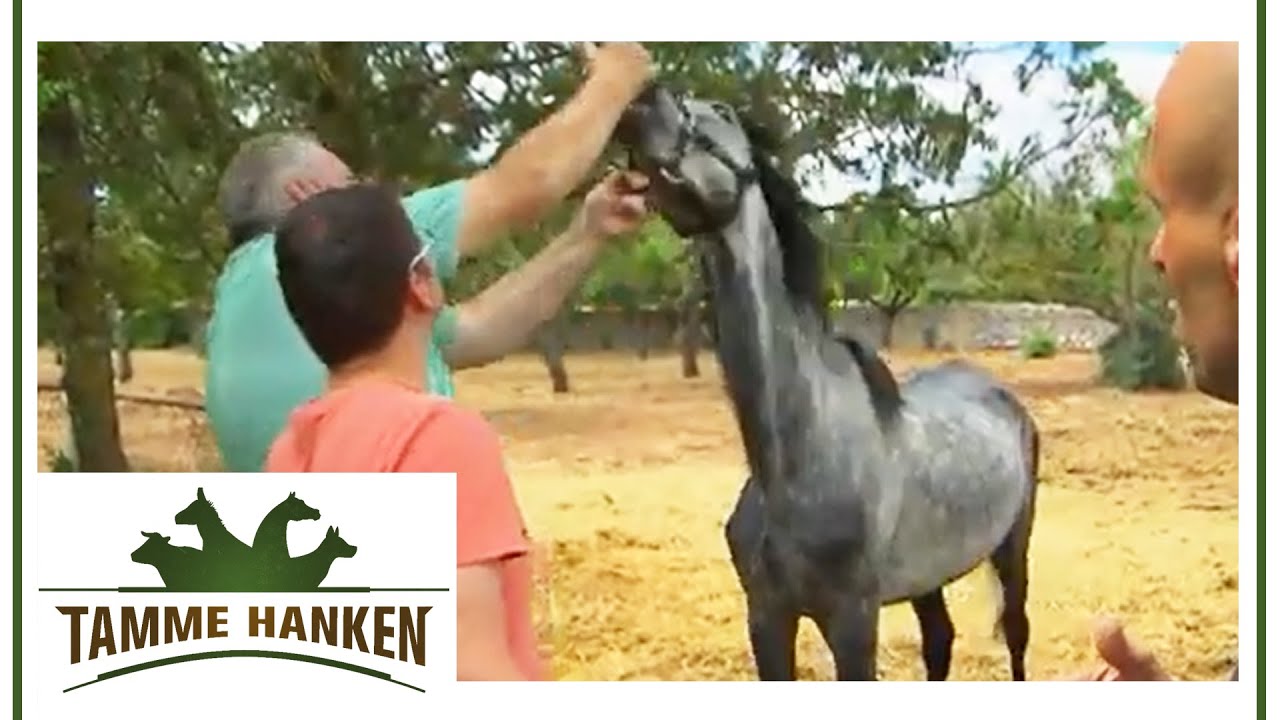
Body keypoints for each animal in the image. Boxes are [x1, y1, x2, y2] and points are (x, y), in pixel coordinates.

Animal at [615, 85, 1041, 681]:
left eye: (720, 113)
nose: (639, 98)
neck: (797, 459)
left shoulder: (853, 622)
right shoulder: (766, 618)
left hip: (1013, 545)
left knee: (1017, 632)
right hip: (929, 575)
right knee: (940, 640)